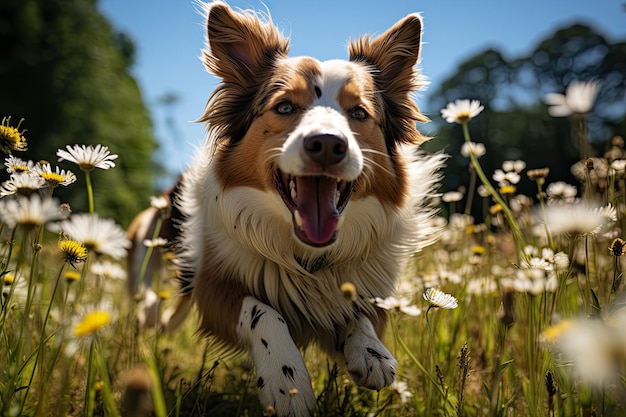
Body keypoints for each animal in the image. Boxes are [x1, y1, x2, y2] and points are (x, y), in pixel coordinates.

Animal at [172, 2, 444, 412]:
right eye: (285, 107)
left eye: (359, 113)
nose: (328, 144)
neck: (307, 260)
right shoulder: (213, 289)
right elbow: (262, 311)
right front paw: (286, 381)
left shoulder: (367, 288)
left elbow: (356, 311)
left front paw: (371, 352)